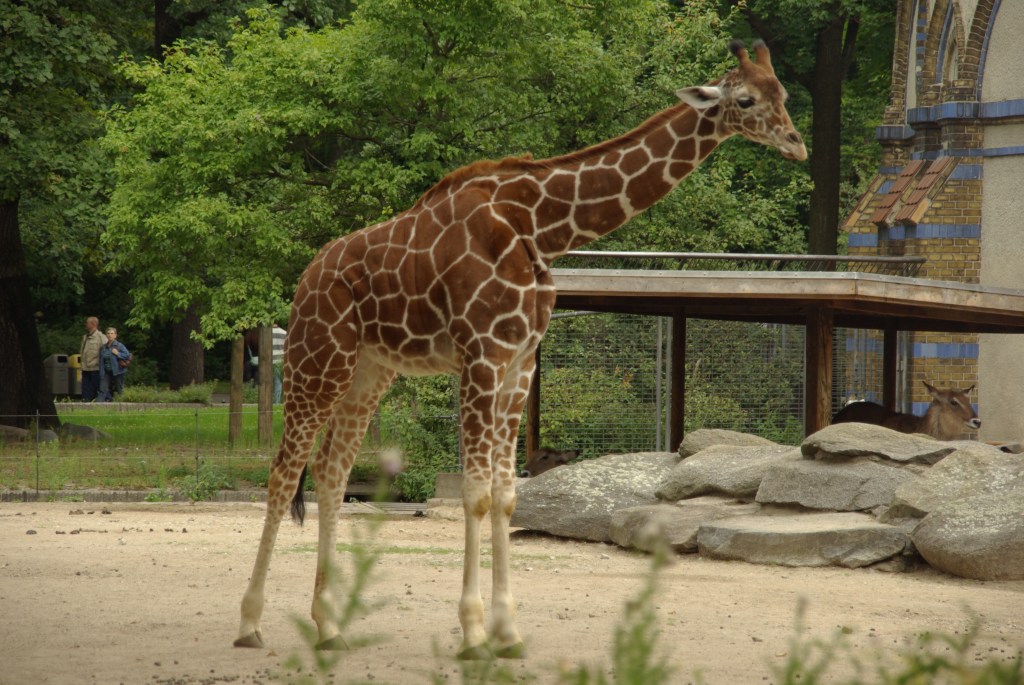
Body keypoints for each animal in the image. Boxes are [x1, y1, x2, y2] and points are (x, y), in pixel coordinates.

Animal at [234, 39, 806, 659]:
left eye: (783, 92)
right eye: (745, 99)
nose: (796, 143)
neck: (541, 226)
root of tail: (306, 277)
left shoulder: (520, 362)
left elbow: (507, 495)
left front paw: (507, 634)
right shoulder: (480, 355)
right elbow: (476, 494)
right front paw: (472, 633)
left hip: (369, 371)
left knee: (332, 475)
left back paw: (330, 626)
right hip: (318, 359)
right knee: (283, 473)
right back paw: (250, 623)